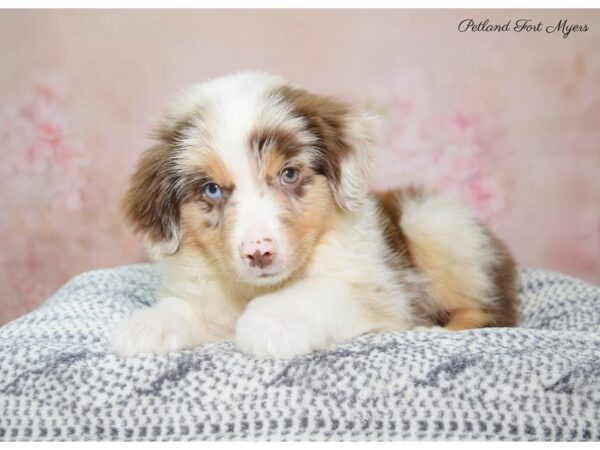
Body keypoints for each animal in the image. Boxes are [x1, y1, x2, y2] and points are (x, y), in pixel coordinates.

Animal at [109, 72, 520, 360]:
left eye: (289, 174)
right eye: (212, 190)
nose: (259, 253)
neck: (257, 288)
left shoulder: (380, 287)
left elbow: (319, 290)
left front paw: (270, 322)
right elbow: (188, 307)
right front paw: (149, 324)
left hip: (433, 222)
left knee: (491, 310)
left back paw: (434, 331)